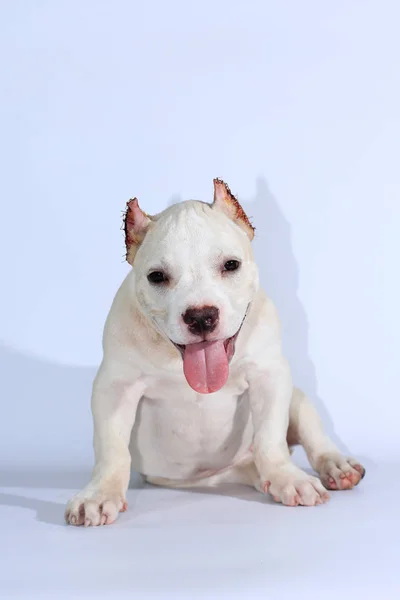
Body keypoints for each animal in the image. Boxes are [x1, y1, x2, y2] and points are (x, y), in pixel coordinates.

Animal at [65, 178, 366, 524]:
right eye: (157, 276)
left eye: (231, 265)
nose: (201, 316)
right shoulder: (115, 387)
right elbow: (111, 446)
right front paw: (99, 494)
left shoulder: (269, 376)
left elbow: (270, 436)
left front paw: (287, 476)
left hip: (298, 398)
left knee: (308, 432)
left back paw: (335, 466)